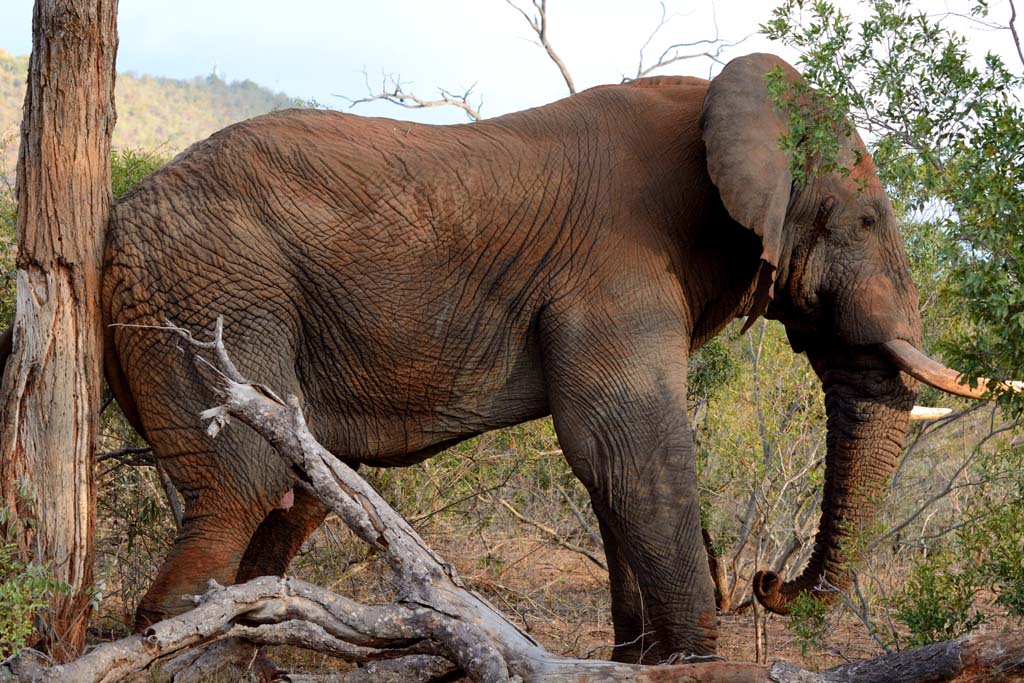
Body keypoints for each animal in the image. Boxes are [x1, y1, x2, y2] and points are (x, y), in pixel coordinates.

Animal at [94, 52, 995, 661]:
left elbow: (609, 469)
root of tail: (115, 219)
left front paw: (642, 661)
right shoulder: (614, 269)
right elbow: (629, 449)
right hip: (206, 294)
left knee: (293, 501)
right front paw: (693, 660)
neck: (712, 103)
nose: (767, 584)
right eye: (866, 220)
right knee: (243, 489)